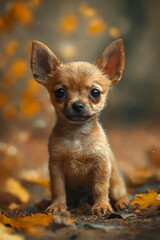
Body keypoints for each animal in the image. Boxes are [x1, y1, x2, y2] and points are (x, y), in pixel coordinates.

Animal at [30, 39, 129, 216]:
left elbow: (100, 187)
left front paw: (102, 205)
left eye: (95, 92)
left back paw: (121, 203)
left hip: (116, 182)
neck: (77, 135)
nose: (77, 105)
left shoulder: (101, 165)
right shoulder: (56, 167)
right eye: (59, 92)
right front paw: (57, 206)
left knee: (120, 192)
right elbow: (58, 189)